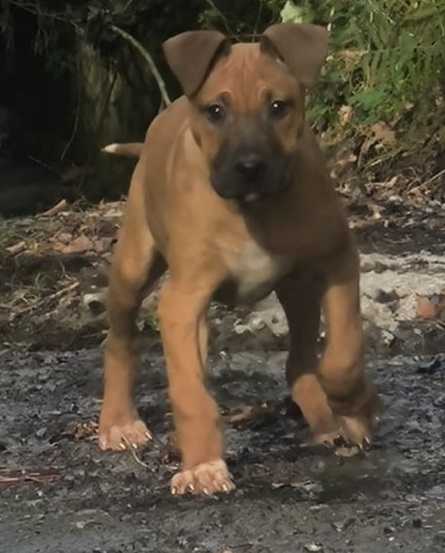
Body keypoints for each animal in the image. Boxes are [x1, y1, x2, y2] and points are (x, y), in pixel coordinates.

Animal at [98, 23, 382, 496]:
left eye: (278, 107)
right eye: (215, 111)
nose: (249, 167)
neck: (254, 210)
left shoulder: (338, 258)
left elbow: (342, 352)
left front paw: (354, 407)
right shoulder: (181, 299)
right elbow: (190, 394)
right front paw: (202, 464)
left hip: (298, 287)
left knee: (300, 360)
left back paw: (325, 419)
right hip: (134, 267)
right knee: (120, 341)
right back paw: (119, 421)